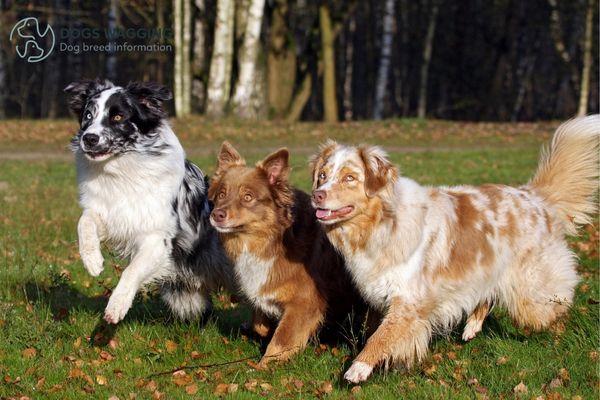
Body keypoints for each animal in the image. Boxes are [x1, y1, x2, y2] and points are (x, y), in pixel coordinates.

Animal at [65, 79, 232, 324]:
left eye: (118, 117)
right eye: (88, 115)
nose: (89, 138)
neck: (122, 171)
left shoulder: (157, 238)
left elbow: (131, 271)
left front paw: (117, 305)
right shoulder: (113, 215)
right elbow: (84, 221)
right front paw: (92, 261)